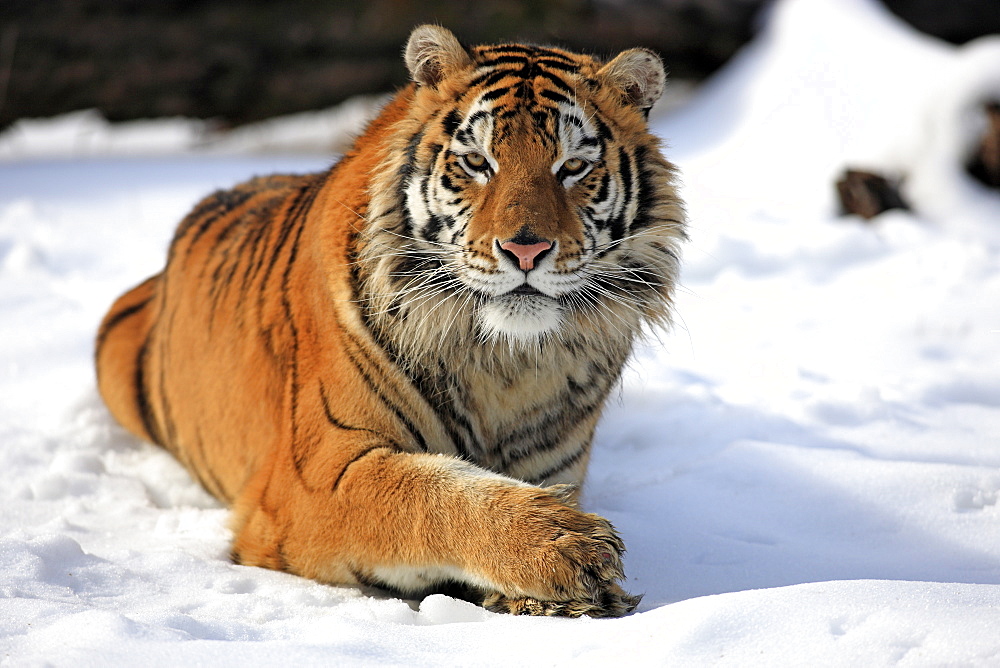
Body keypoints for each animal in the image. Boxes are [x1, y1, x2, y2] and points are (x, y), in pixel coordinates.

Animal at [94, 26, 688, 620]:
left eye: (573, 167)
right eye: (477, 162)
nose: (526, 249)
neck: (505, 363)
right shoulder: (316, 478)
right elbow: (428, 492)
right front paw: (567, 546)